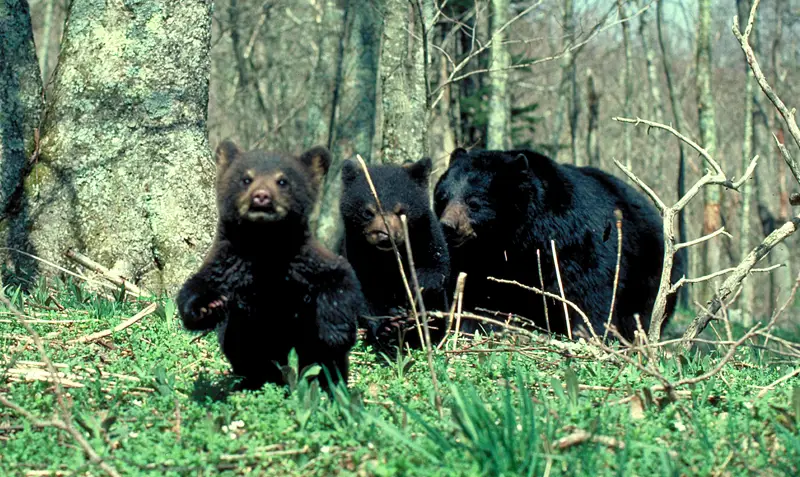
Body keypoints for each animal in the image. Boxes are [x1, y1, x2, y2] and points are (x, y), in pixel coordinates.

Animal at [177, 139, 364, 388]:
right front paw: (207, 306)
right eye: (246, 178)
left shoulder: (304, 262)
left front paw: (335, 332)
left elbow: (341, 279)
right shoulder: (230, 263)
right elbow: (199, 286)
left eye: (282, 180)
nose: (261, 197)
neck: (265, 245)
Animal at [338, 158, 450, 348]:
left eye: (401, 211)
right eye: (367, 212)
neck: (387, 256)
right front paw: (386, 326)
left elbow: (437, 265)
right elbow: (366, 289)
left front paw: (417, 285)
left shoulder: (428, 232)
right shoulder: (355, 248)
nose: (385, 237)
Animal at [434, 147, 684, 340]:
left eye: (474, 203)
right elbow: (476, 295)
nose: (447, 226)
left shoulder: (575, 245)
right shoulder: (480, 262)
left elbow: (588, 294)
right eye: (442, 198)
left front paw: (588, 334)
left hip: (650, 274)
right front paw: (468, 327)